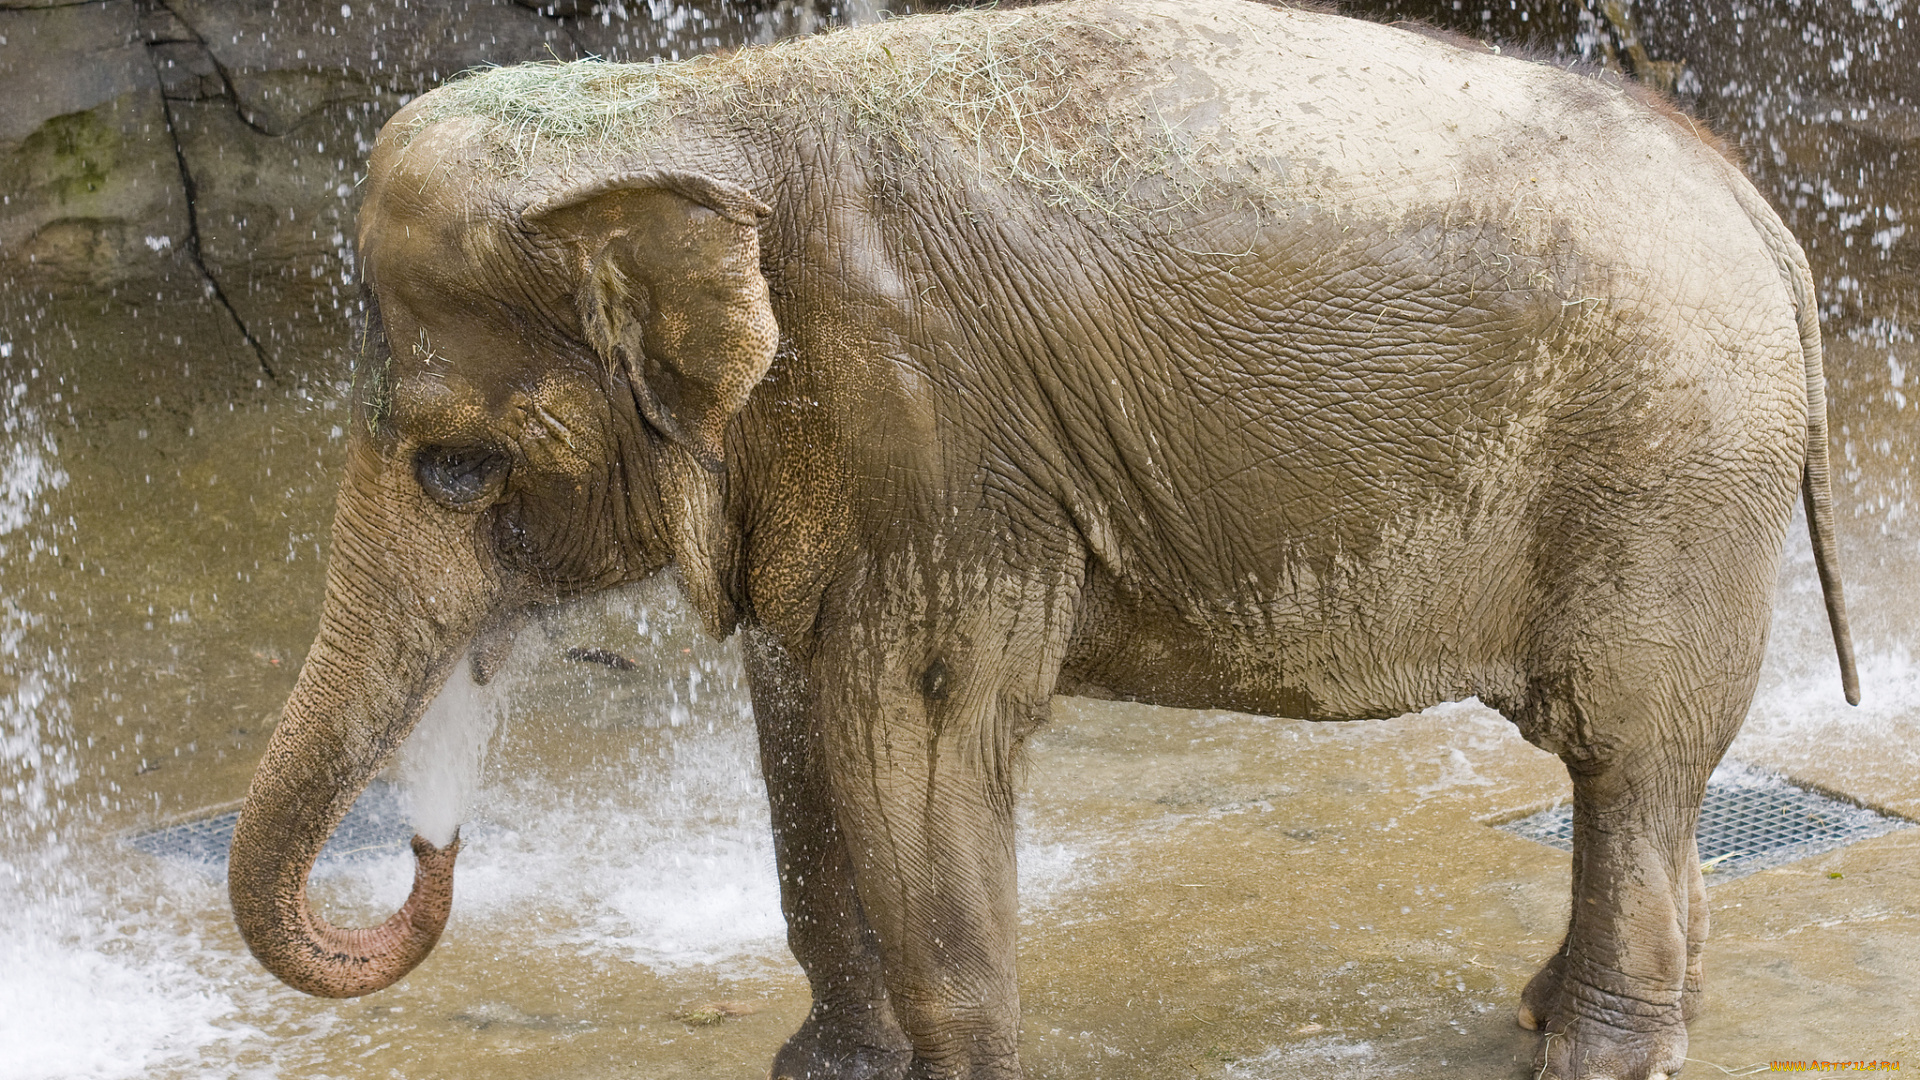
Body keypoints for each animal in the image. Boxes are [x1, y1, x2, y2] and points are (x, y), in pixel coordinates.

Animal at [228, 2, 1858, 1076]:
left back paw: (1592, 1053)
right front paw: (828, 1074)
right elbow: (804, 728)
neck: (684, 103)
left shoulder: (935, 435)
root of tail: (1757, 203)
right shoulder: (849, 465)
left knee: (1625, 755)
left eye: (453, 469)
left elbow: (915, 734)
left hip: (1669, 467)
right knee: (1646, 776)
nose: (427, 848)